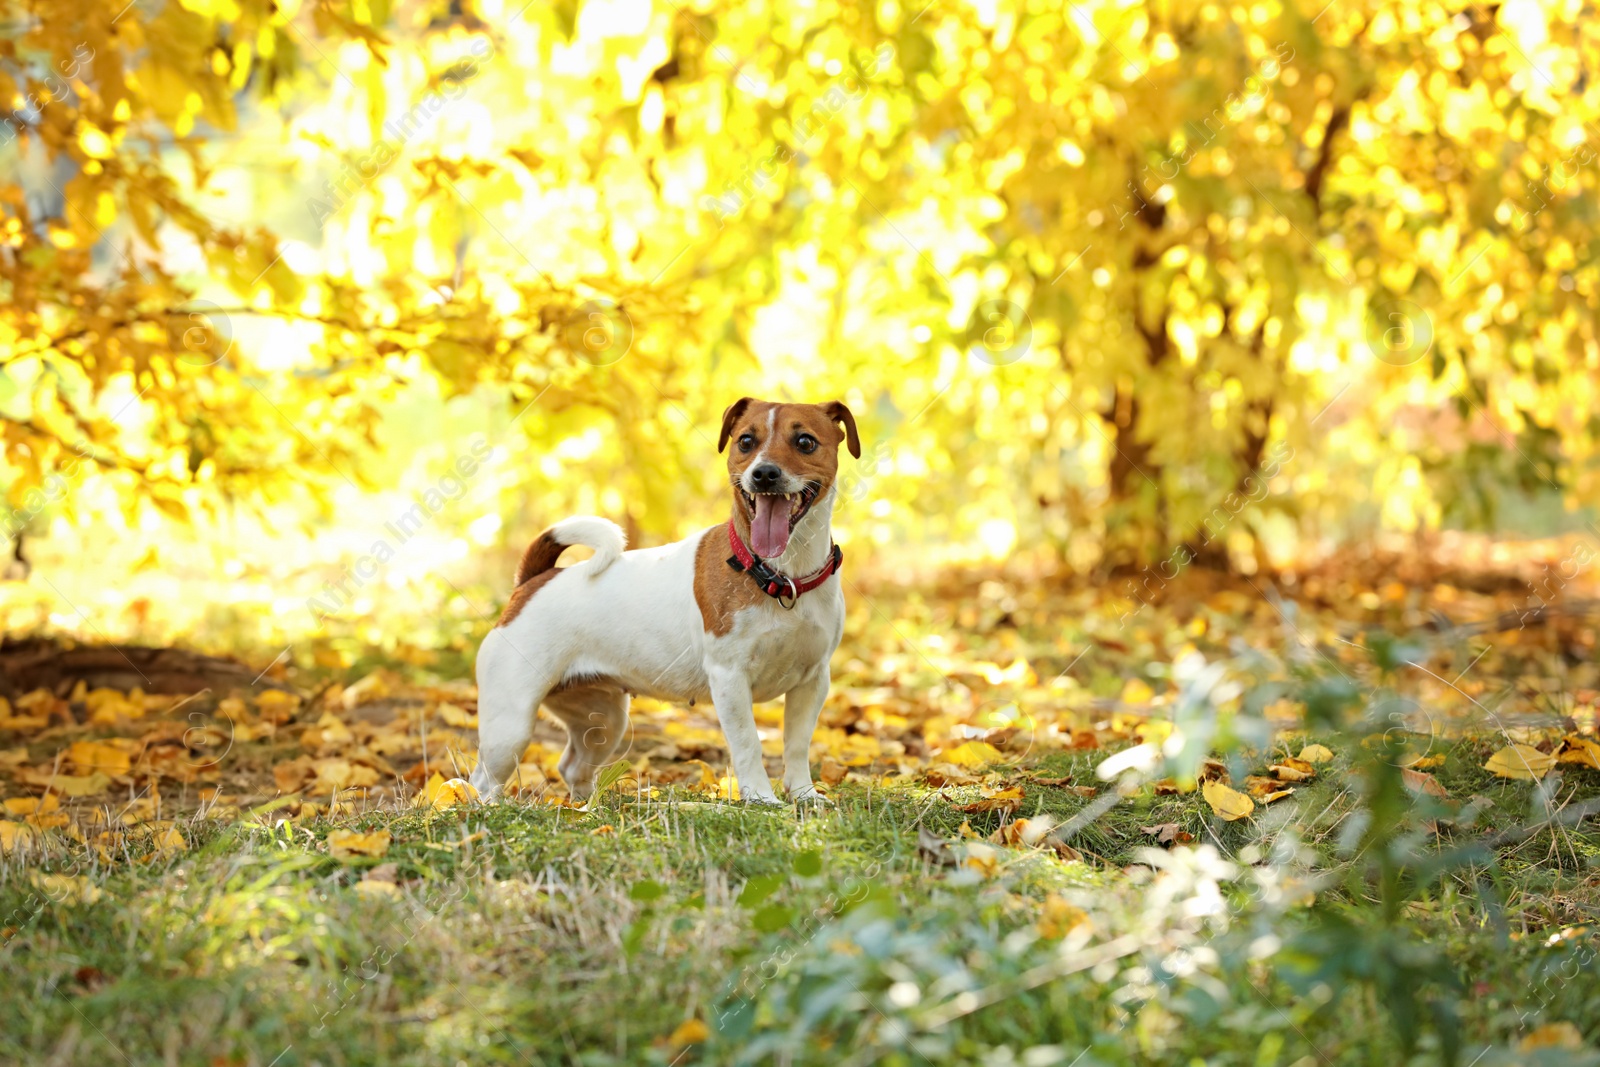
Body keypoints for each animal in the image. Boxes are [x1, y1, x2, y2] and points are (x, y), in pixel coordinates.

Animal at [467, 396, 857, 806]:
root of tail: (534, 580)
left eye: (805, 442)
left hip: (602, 719)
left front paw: (804, 795)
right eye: (746, 441)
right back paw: (488, 808)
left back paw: (587, 807)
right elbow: (748, 743)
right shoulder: (730, 679)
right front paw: (761, 799)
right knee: (482, 779)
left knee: (572, 766)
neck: (781, 575)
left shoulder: (813, 681)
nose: (764, 473)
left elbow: (797, 745)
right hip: (510, 725)